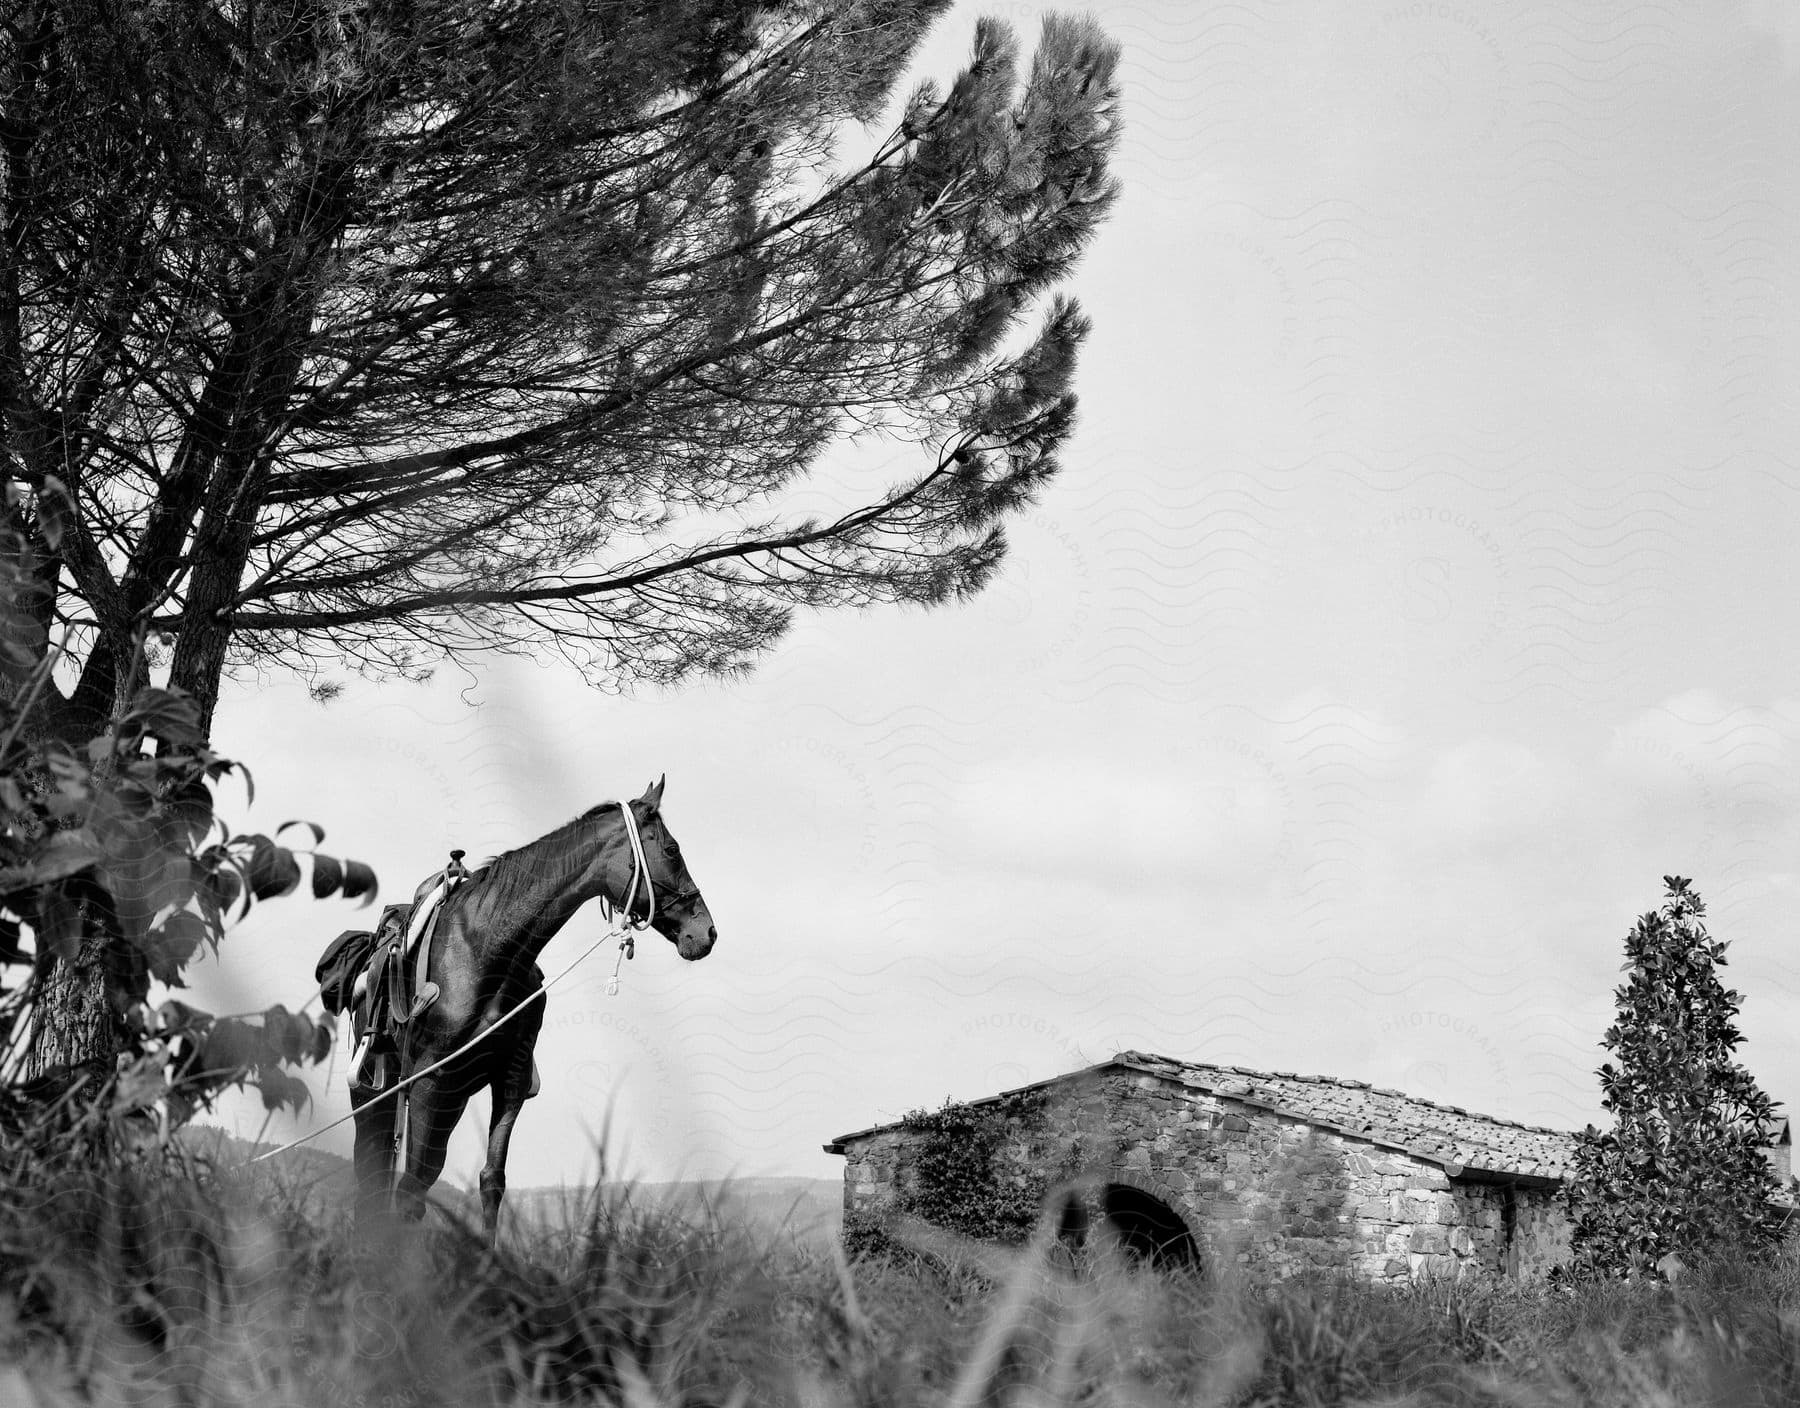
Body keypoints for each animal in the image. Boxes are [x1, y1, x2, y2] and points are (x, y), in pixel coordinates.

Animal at [347, 777, 712, 1238]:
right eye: (671, 849)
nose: (706, 931)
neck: (486, 949)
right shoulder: (431, 1081)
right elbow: (412, 1187)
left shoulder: (510, 1079)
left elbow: (490, 1180)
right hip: (376, 1096)